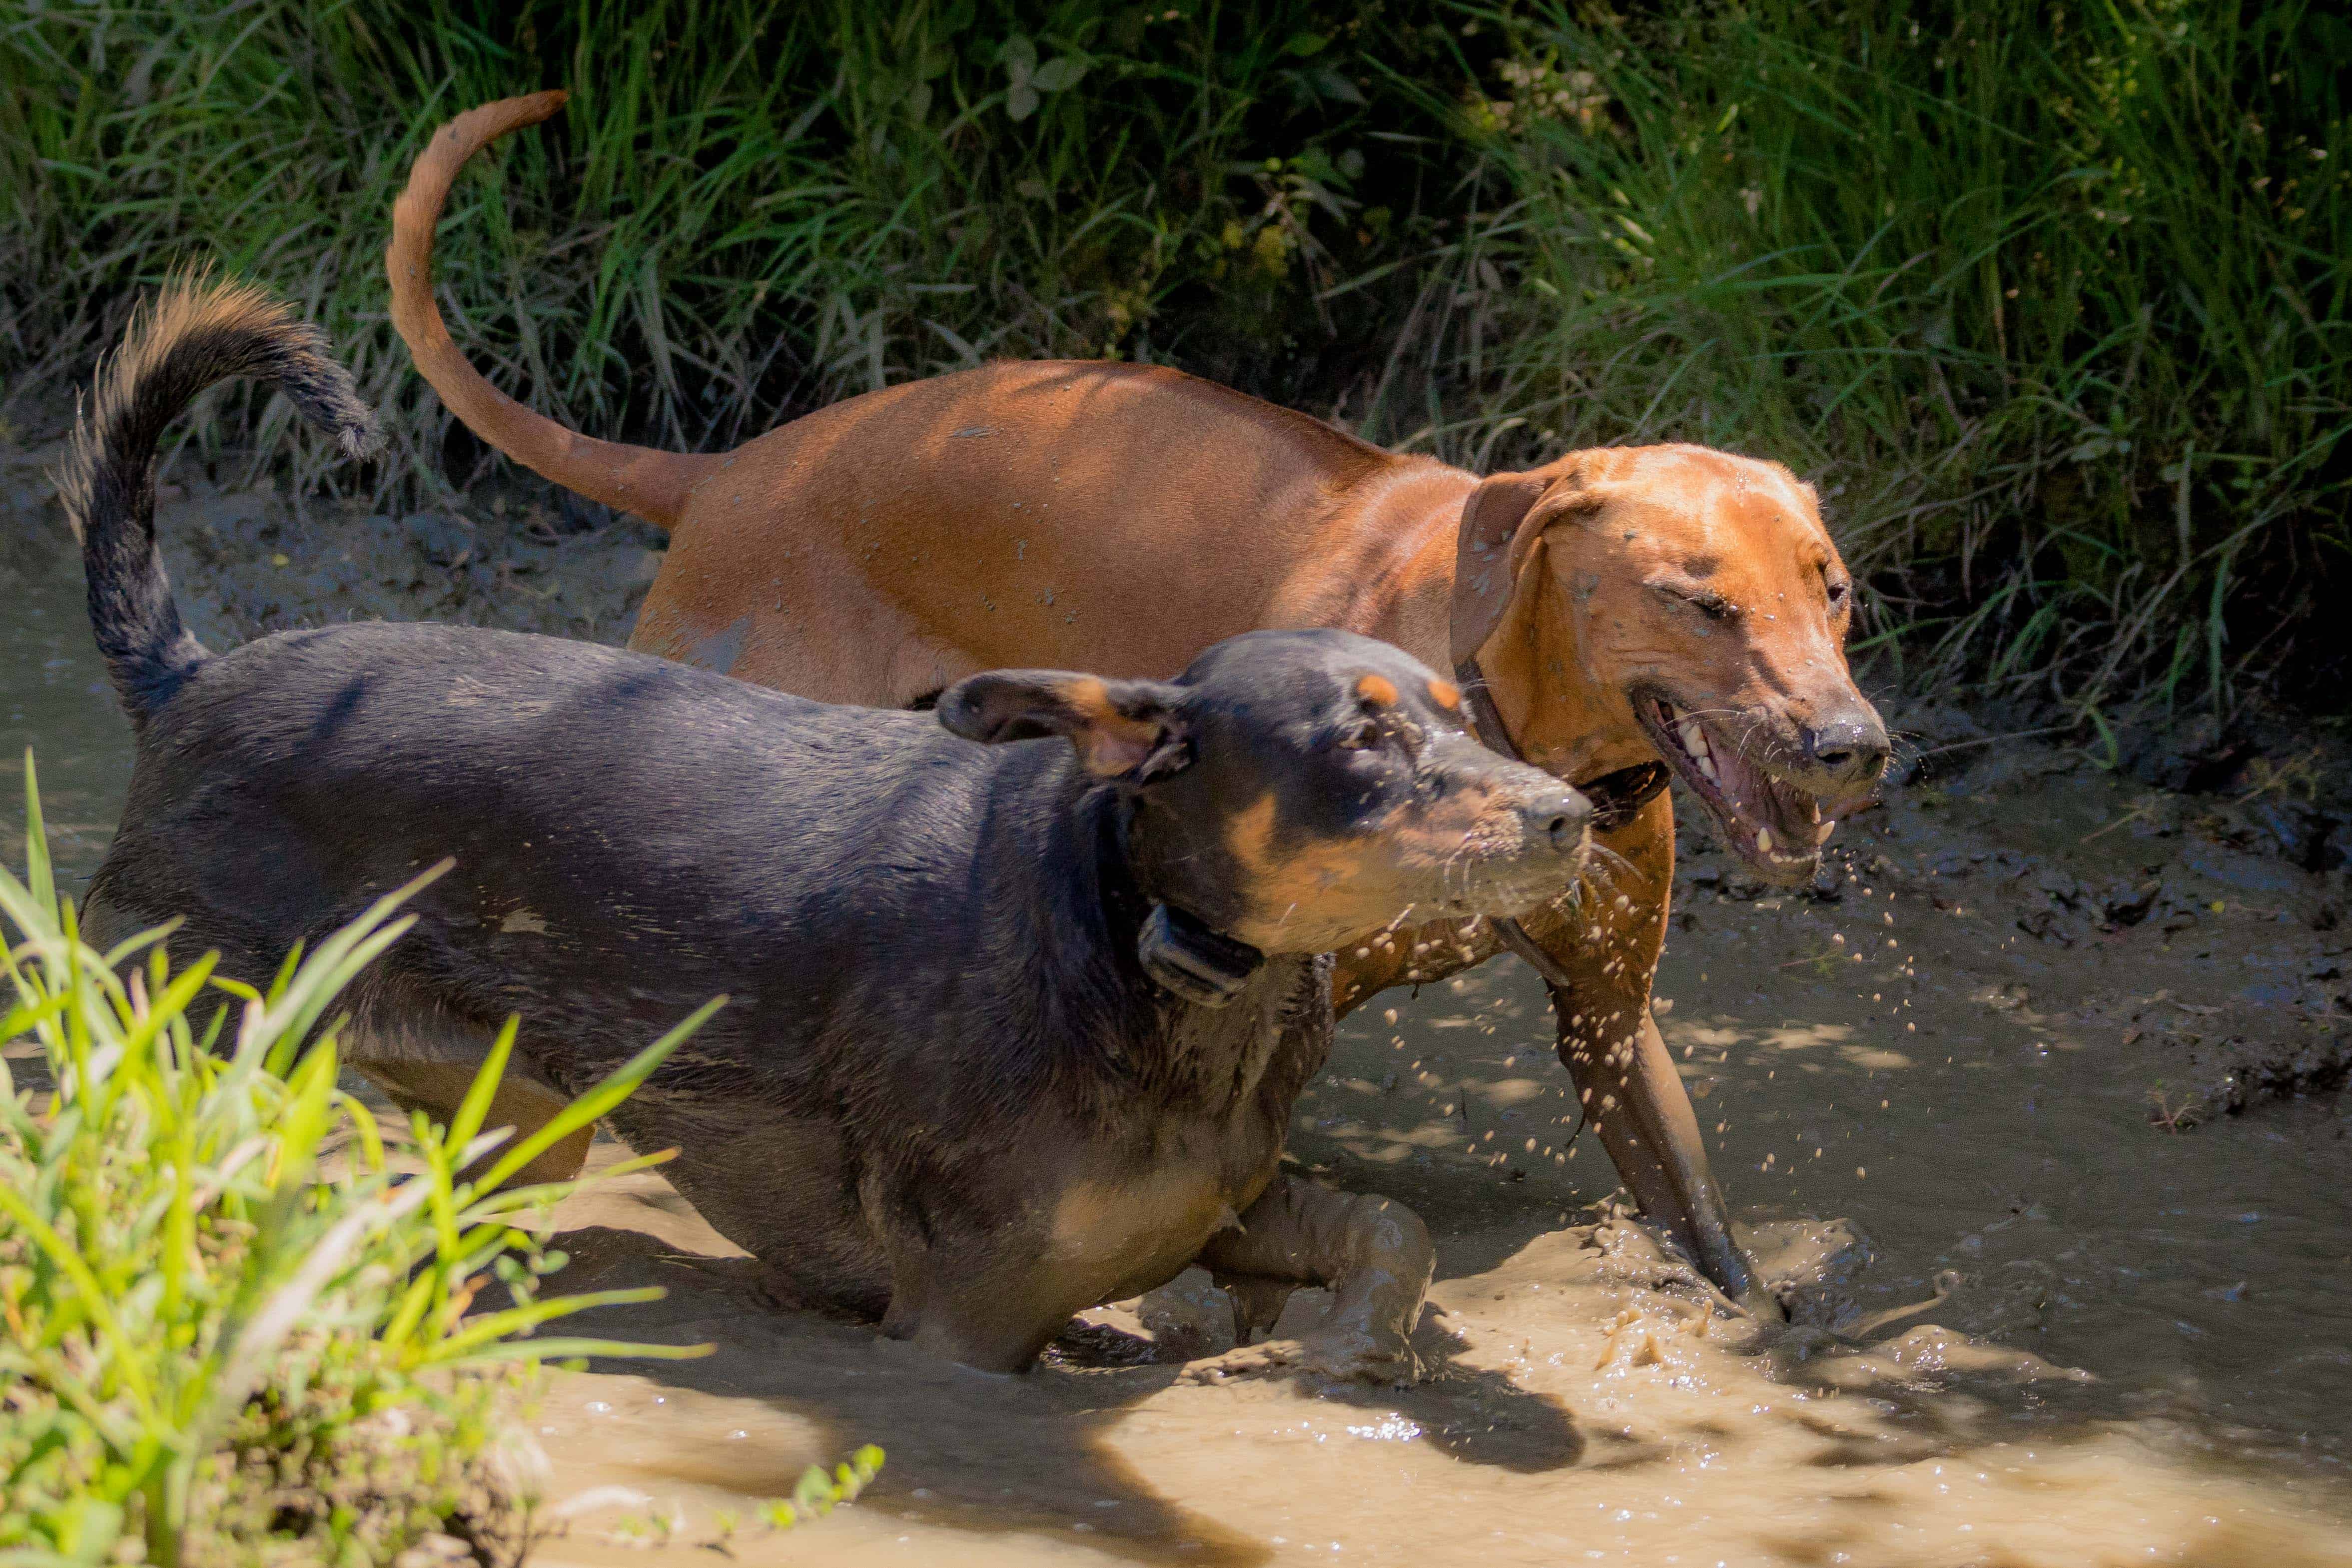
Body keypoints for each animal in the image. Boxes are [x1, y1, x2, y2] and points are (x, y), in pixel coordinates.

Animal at [64, 285, 1599, 1382]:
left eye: (1464, 716)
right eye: (1362, 740)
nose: (1573, 816)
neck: (1123, 930)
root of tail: (189, 679)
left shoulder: (1219, 1212)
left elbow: (1387, 1231)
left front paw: (1352, 1350)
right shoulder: (969, 1324)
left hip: (514, 1134)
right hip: (189, 1051)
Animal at [390, 92, 1891, 1307]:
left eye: (1833, 589)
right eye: (1702, 602)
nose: (1855, 746)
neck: (1504, 705)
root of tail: (728, 470)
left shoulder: (1607, 1014)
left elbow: (1705, 1226)